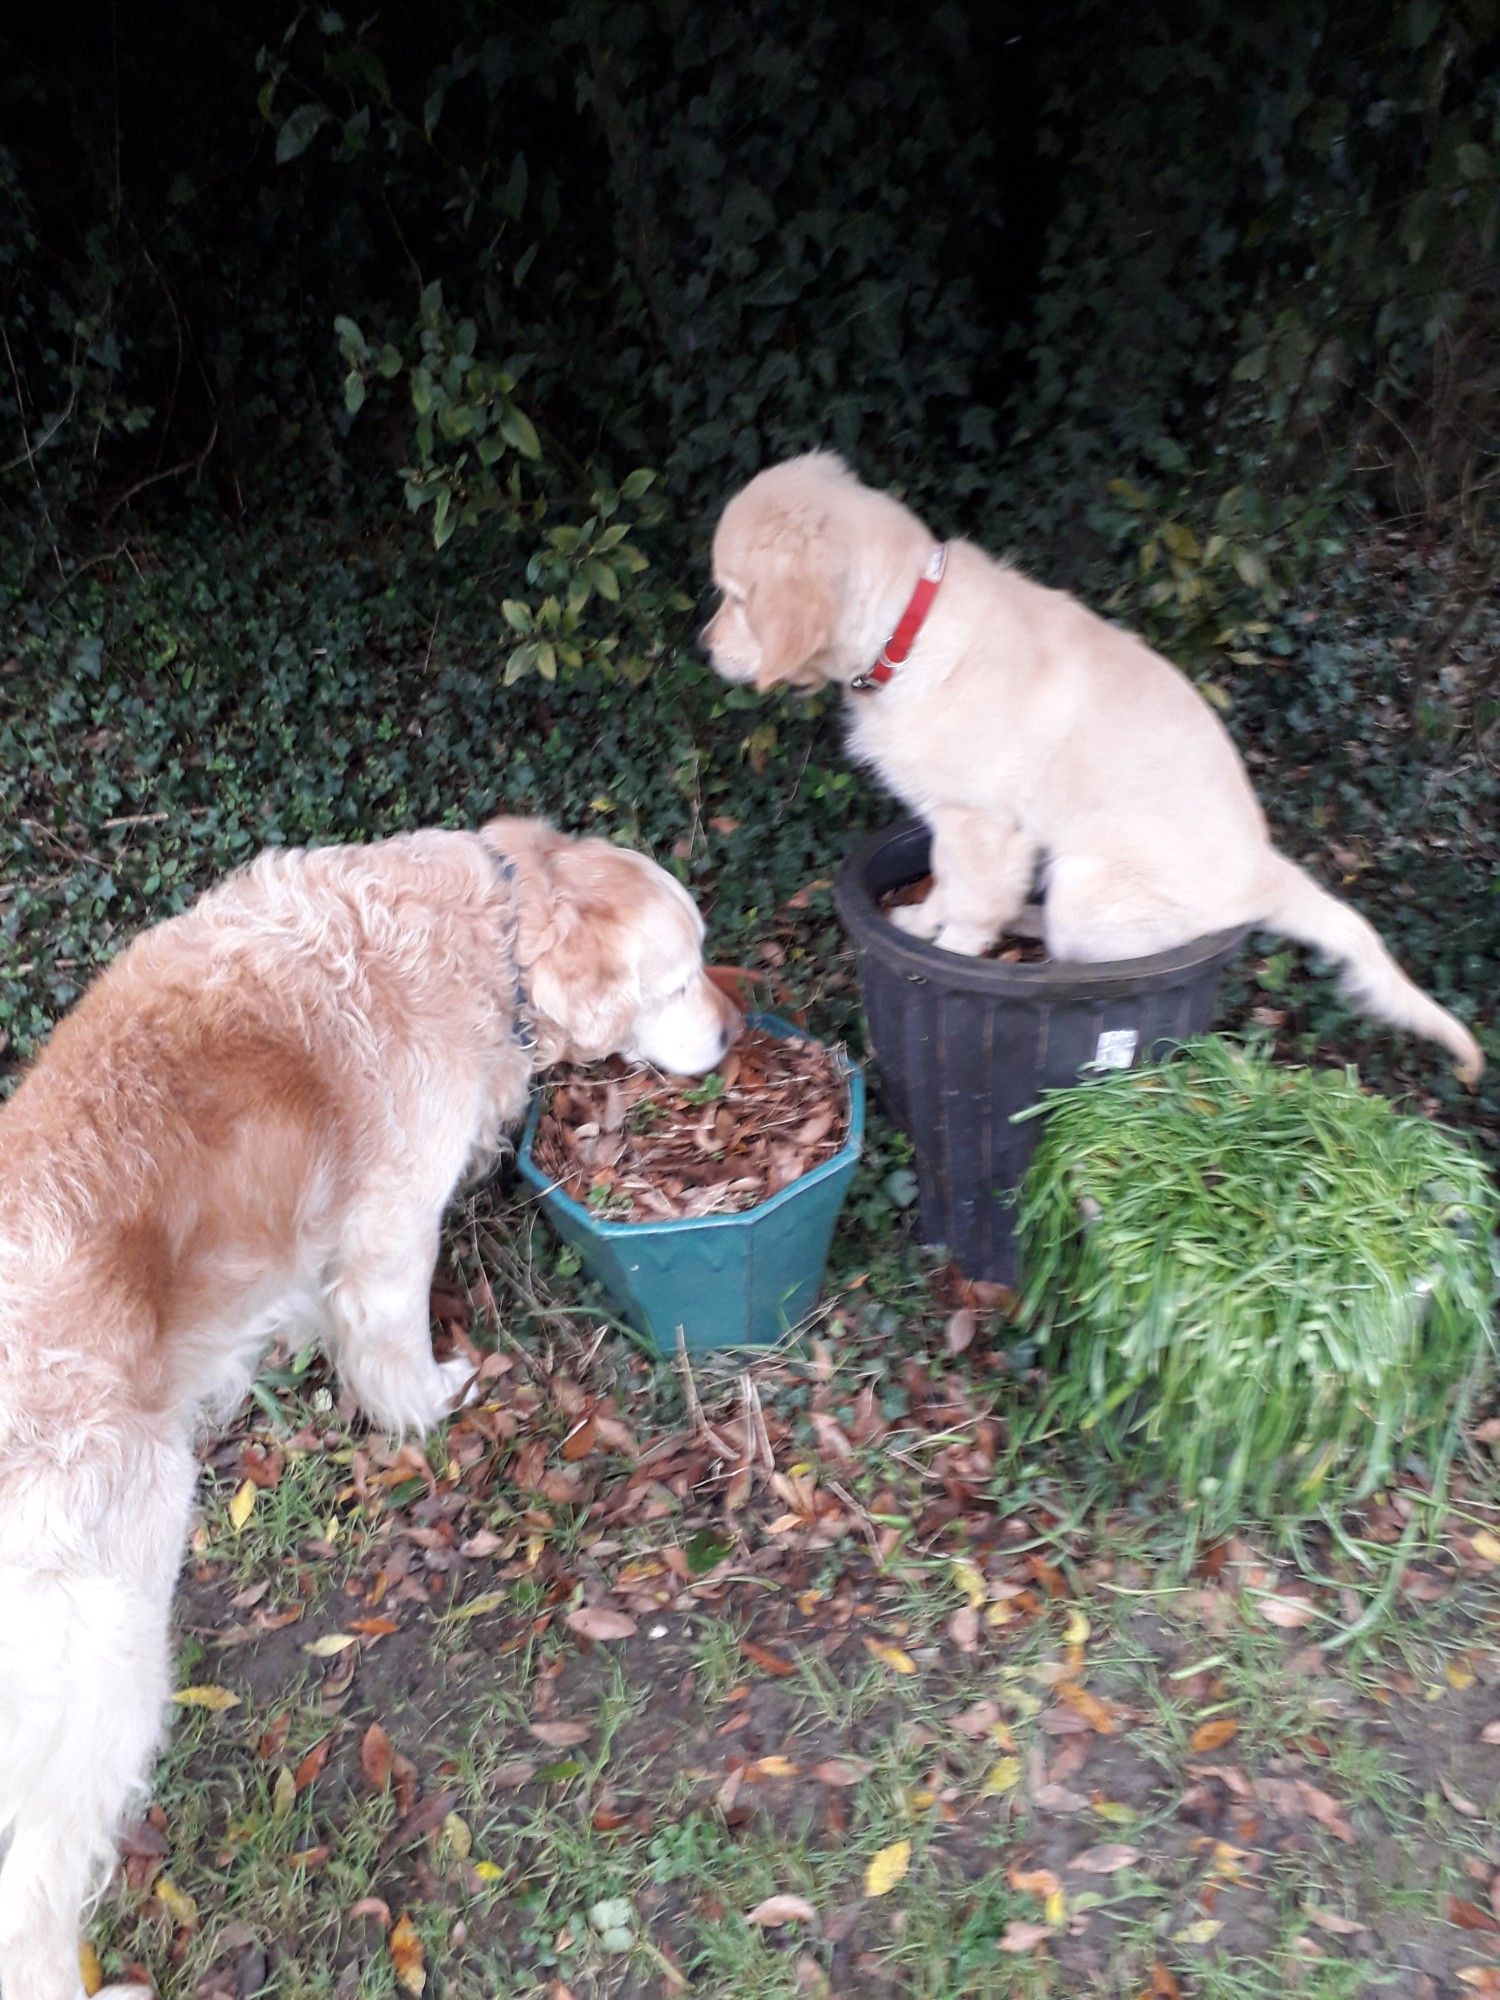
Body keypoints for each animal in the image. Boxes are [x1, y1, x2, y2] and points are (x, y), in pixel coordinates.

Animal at [0, 816, 740, 2000]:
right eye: (681, 978)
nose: (736, 1026)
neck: (487, 930)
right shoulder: (396, 1225)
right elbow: (392, 1337)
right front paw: (428, 1402)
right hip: (108, 1645)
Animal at [712, 454, 1488, 1088]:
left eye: (735, 596)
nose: (703, 646)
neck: (910, 628)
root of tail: (1266, 873)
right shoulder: (952, 819)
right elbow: (946, 878)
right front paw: (919, 918)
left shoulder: (983, 823)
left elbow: (969, 906)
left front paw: (952, 944)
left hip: (1088, 889)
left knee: (1073, 955)